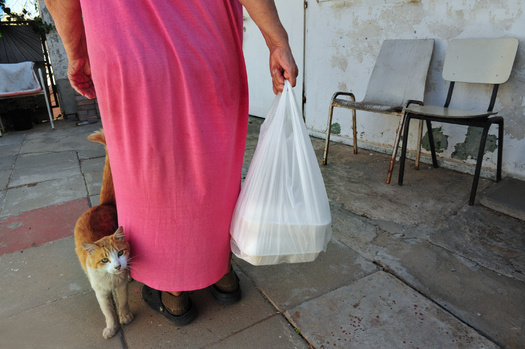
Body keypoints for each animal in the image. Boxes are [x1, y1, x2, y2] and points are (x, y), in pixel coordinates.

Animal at [74, 129, 134, 338]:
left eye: (121, 253)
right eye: (104, 260)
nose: (117, 265)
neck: (111, 279)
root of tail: (101, 205)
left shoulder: (121, 285)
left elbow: (122, 301)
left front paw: (125, 316)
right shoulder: (100, 291)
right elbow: (107, 311)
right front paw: (111, 327)